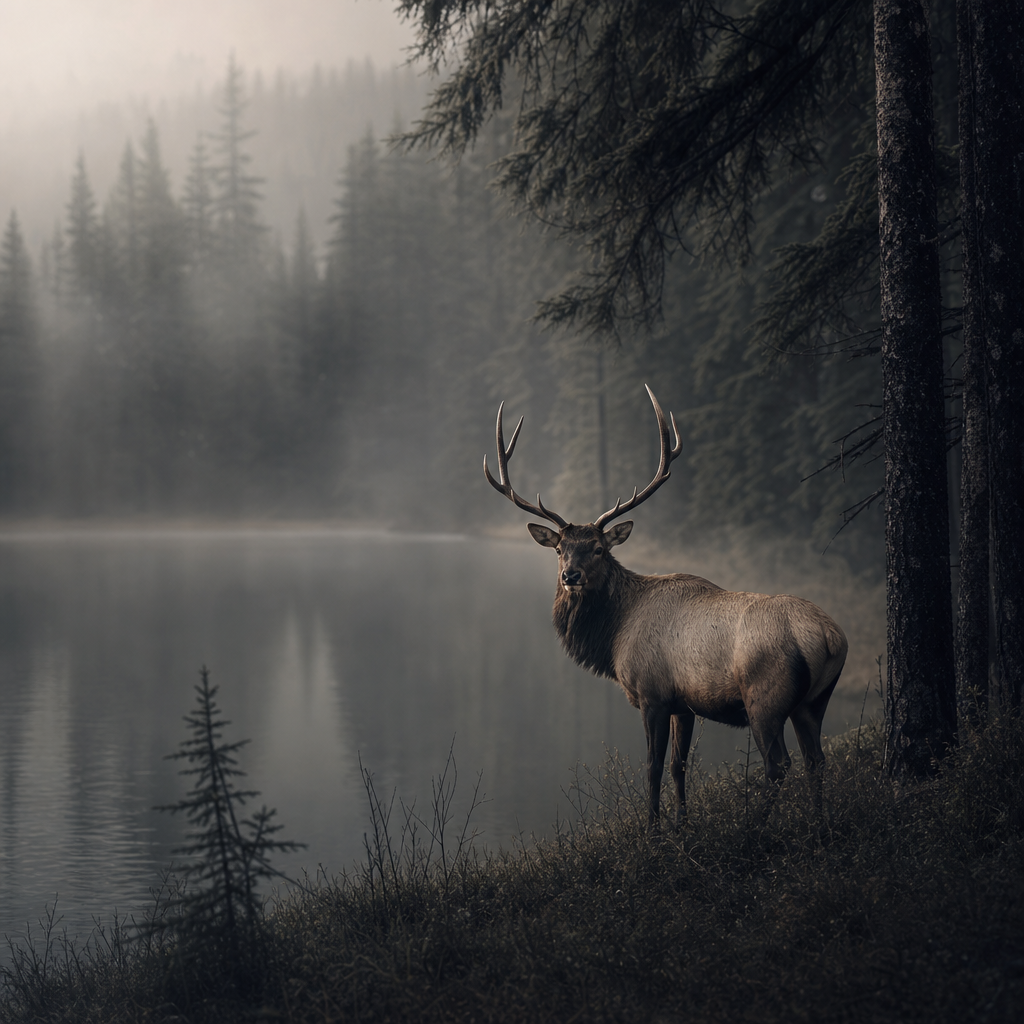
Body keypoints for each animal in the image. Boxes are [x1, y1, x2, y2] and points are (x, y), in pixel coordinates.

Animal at [484, 385, 848, 828]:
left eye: (598, 548)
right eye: (559, 549)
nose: (571, 575)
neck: (614, 636)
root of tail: (830, 638)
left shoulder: (652, 693)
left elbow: (653, 767)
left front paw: (653, 828)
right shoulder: (684, 704)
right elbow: (679, 766)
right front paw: (682, 823)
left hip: (765, 698)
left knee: (779, 765)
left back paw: (757, 826)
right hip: (814, 700)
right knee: (817, 759)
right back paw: (820, 823)